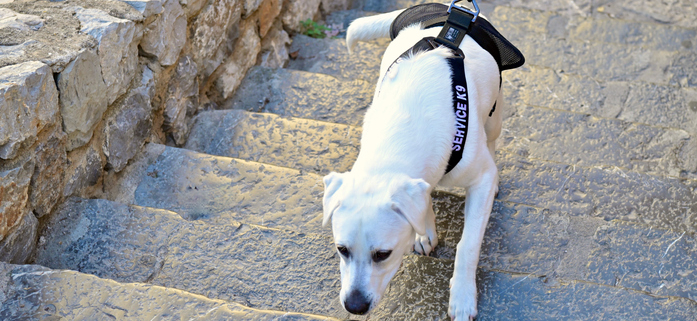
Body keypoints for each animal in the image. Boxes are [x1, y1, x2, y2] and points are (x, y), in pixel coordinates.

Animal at [322, 3, 506, 320]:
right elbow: (422, 199)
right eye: (342, 249)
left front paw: (462, 296)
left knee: (492, 138)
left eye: (382, 254)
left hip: (494, 116)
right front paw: (424, 231)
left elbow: (468, 245)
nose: (354, 306)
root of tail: (449, 8)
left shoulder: (479, 178)